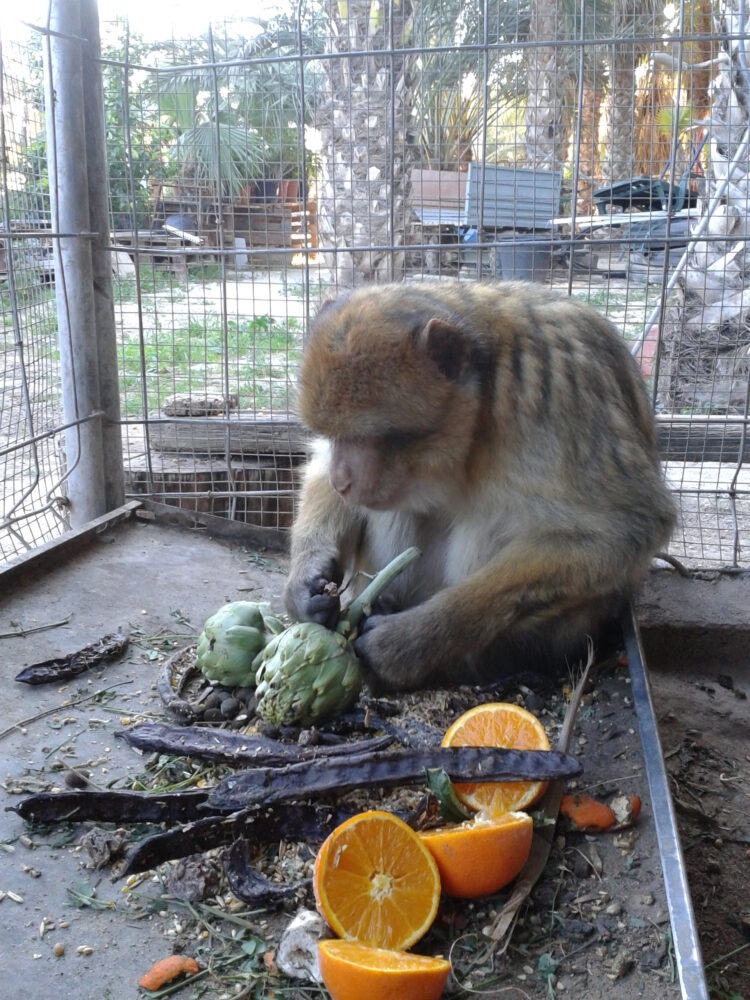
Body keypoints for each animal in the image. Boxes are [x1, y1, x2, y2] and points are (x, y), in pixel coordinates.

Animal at [283, 279, 676, 692]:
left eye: (371, 437)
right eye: (336, 435)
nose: (342, 480)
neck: (483, 405)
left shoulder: (562, 398)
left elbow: (622, 530)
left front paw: (413, 639)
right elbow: (320, 465)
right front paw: (307, 579)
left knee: (491, 519)